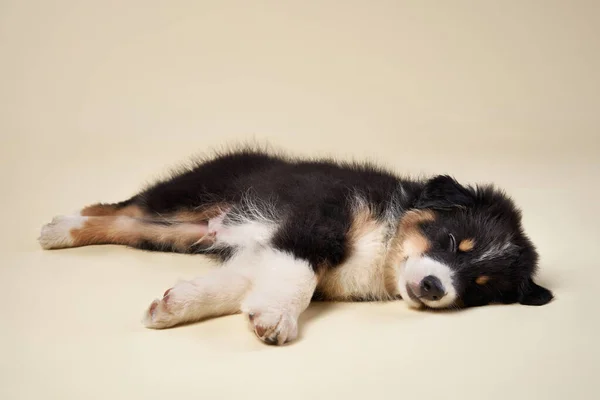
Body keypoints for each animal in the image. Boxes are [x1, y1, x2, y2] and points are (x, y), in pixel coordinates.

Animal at [38, 147, 552, 344]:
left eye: (478, 286)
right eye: (451, 241)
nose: (433, 287)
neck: (385, 244)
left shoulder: (267, 247)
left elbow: (238, 283)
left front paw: (175, 305)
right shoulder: (317, 218)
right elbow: (297, 275)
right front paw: (277, 318)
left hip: (177, 234)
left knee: (124, 222)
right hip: (186, 198)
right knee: (119, 205)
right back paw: (58, 228)